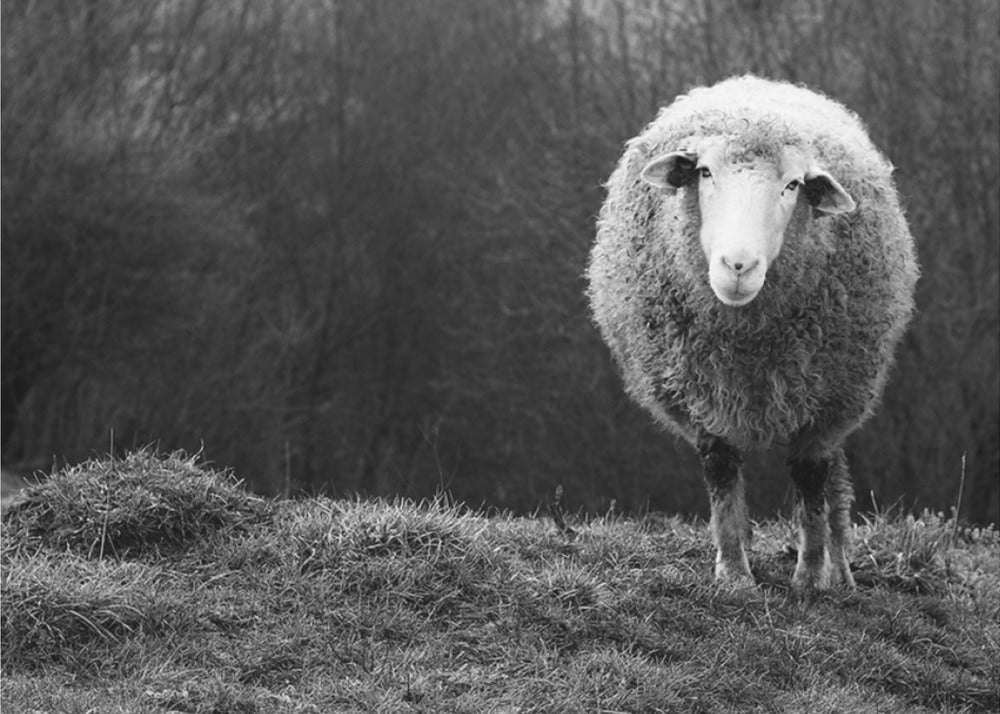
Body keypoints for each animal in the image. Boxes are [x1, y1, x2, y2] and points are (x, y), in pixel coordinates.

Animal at [587, 75, 918, 590]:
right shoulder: (701, 393)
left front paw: (810, 577)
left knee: (835, 483)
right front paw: (733, 573)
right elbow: (722, 472)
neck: (747, 342)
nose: (737, 266)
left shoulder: (825, 403)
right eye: (704, 172)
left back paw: (840, 571)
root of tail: (755, 83)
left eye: (793, 184)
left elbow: (811, 480)